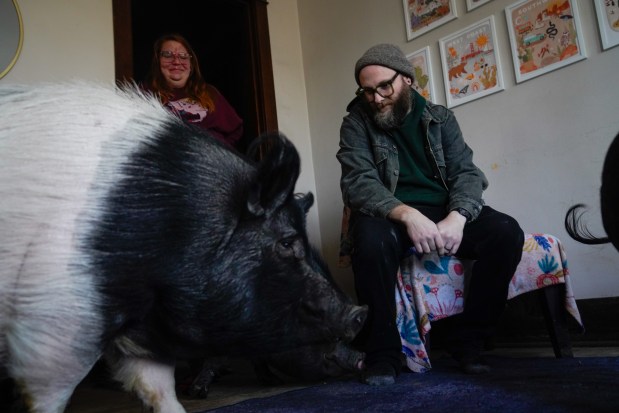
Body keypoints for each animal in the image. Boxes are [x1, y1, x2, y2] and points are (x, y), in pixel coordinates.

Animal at [0, 81, 368, 412]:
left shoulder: (144, 327)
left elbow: (157, 387)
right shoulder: (58, 313)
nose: (359, 313)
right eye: (288, 242)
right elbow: (49, 392)